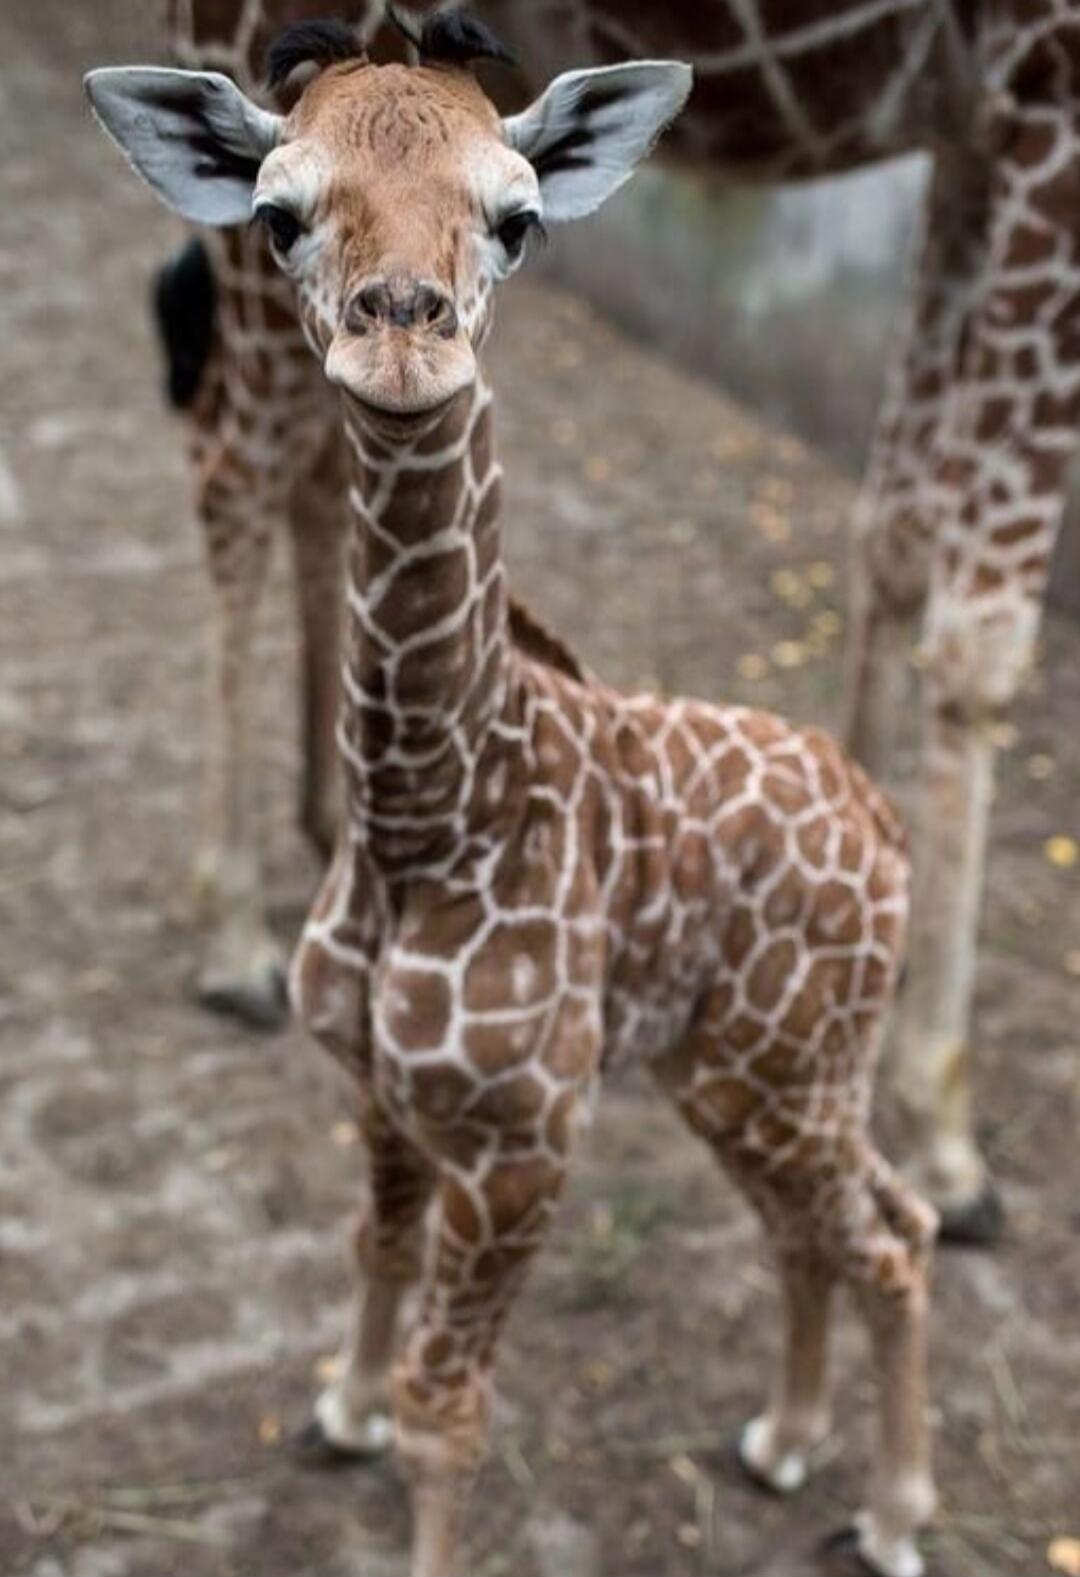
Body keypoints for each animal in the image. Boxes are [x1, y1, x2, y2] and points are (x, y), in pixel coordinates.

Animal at [87, 16, 939, 1576]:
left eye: (519, 216)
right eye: (278, 213)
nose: (402, 334)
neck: (424, 814)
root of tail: (884, 819)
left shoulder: (527, 1138)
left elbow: (452, 1411)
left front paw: (388, 1433)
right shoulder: (380, 1091)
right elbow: (374, 1252)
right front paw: (341, 1410)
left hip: (796, 1069)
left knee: (892, 1232)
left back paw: (898, 1514)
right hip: (731, 1073)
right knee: (817, 1231)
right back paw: (784, 1443)